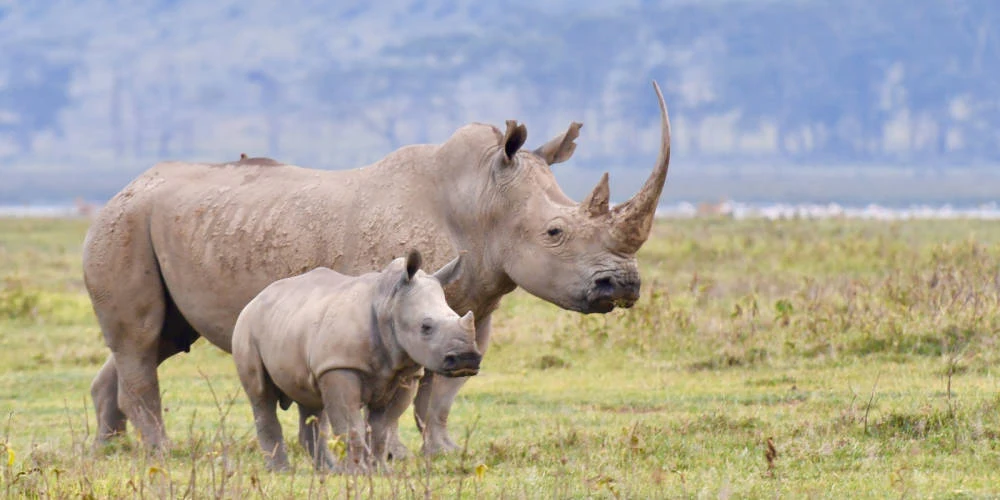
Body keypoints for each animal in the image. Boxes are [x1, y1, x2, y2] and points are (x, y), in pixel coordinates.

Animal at [232, 250, 479, 471]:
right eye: (425, 327)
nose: (466, 359)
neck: (389, 303)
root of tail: (257, 297)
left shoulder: (405, 373)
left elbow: (382, 427)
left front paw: (380, 471)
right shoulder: (340, 366)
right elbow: (351, 425)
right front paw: (357, 473)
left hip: (294, 324)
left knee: (311, 402)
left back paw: (329, 470)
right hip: (247, 325)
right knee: (262, 395)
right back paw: (281, 470)